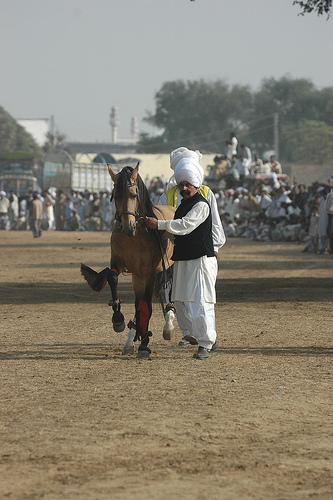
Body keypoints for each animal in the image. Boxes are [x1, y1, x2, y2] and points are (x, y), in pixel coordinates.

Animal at [80, 162, 176, 358]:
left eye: (133, 194)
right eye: (115, 195)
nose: (127, 227)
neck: (136, 235)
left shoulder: (149, 272)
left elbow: (147, 304)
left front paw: (144, 344)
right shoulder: (121, 263)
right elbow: (113, 278)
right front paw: (119, 319)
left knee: (168, 292)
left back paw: (167, 323)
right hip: (138, 276)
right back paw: (133, 335)